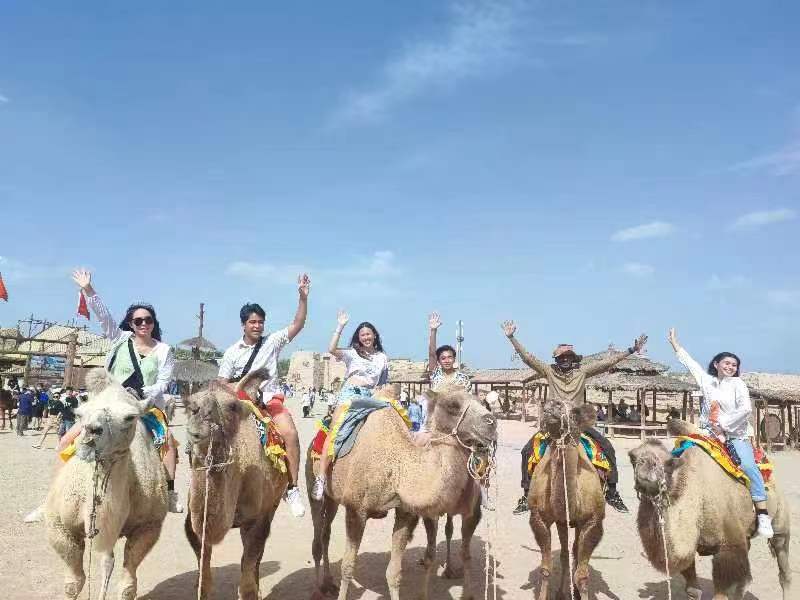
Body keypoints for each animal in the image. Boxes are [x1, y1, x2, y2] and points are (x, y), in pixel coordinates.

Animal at [44, 370, 168, 600]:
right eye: (80, 414)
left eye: (130, 417)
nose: (91, 432)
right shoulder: (59, 526)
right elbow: (73, 583)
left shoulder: (150, 526)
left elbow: (128, 586)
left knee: (107, 560)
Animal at [183, 369, 288, 600]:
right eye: (189, 405)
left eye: (231, 406)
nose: (198, 426)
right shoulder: (193, 525)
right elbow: (203, 581)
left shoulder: (257, 518)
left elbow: (248, 576)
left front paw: (253, 589)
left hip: (273, 502)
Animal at [307, 387, 497, 600]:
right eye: (453, 405)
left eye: (483, 402)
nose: (491, 422)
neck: (397, 466)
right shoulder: (356, 509)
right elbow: (347, 567)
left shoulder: (404, 511)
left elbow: (394, 572)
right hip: (314, 484)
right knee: (318, 534)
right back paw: (318, 589)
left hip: (333, 498)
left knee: (325, 533)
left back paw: (329, 583)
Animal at [528, 399, 606, 600]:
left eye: (576, 412)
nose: (551, 405)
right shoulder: (538, 518)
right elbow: (546, 569)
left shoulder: (593, 521)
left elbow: (583, 575)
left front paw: (580, 590)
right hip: (562, 521)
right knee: (564, 553)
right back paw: (562, 592)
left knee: (575, 552)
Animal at [629, 419, 792, 600]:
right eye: (632, 457)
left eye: (669, 463)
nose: (645, 463)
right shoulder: (691, 549)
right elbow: (693, 590)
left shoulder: (728, 547)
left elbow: (723, 591)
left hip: (780, 524)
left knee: (783, 569)